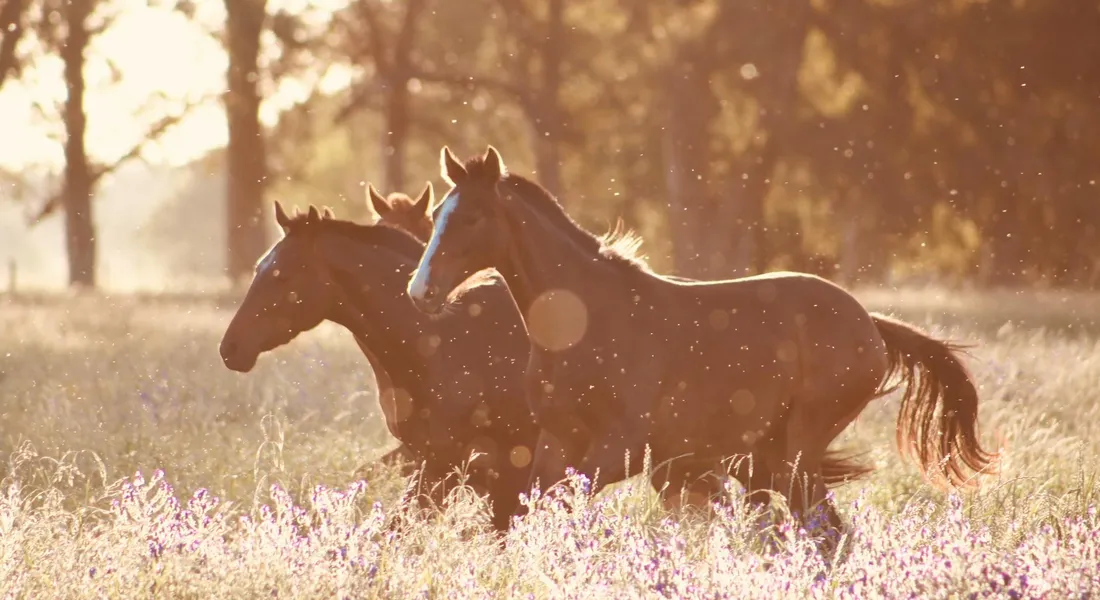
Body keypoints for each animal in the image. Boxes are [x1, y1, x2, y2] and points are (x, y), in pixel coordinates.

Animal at [405, 145, 999, 531]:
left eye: (472, 217)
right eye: (438, 215)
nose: (420, 290)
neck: (584, 323)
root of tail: (870, 324)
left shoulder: (621, 450)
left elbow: (554, 506)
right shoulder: (558, 440)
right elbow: (527, 509)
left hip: (798, 448)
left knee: (822, 529)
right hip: (770, 455)